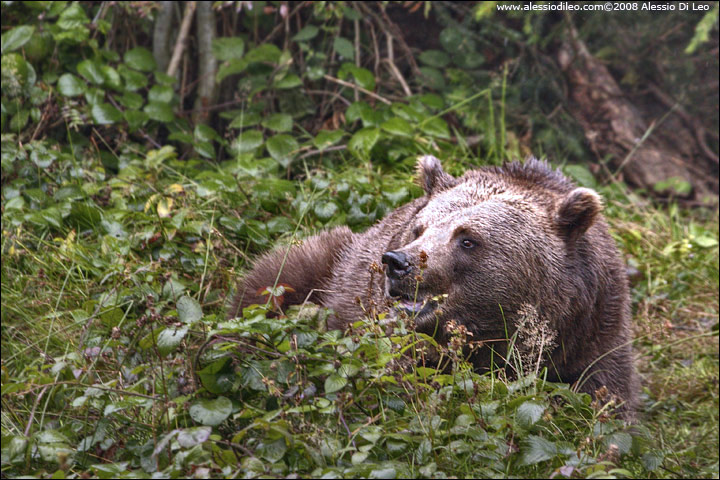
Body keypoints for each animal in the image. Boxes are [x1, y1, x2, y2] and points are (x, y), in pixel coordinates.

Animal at [229, 156, 638, 419]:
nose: (397, 263)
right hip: (332, 266)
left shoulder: (593, 335)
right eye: (420, 228)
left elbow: (607, 404)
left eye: (468, 239)